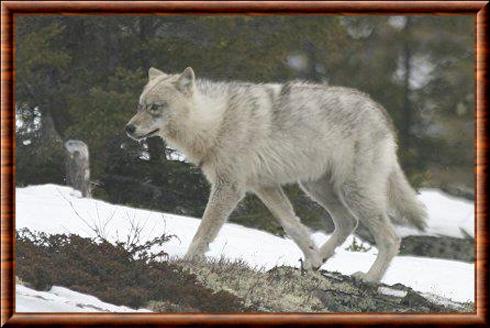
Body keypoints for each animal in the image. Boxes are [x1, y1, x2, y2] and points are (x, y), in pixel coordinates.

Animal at [126, 66, 428, 282]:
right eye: (139, 105)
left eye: (154, 107)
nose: (128, 128)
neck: (216, 122)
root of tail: (380, 111)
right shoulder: (265, 187)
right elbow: (293, 226)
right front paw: (312, 257)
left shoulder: (230, 188)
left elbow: (204, 231)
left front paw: (186, 261)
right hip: (318, 188)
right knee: (347, 223)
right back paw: (318, 261)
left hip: (352, 192)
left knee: (390, 238)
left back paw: (369, 279)